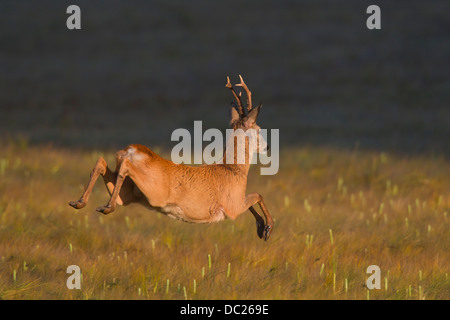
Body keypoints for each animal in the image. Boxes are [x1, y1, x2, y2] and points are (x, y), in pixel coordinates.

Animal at [69, 75, 274, 240]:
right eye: (258, 129)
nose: (267, 146)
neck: (233, 169)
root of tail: (131, 150)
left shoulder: (235, 203)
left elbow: (254, 199)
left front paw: (261, 227)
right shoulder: (232, 207)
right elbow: (258, 195)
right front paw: (267, 228)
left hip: (128, 194)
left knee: (102, 162)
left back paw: (80, 202)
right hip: (154, 193)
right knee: (123, 166)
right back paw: (105, 206)